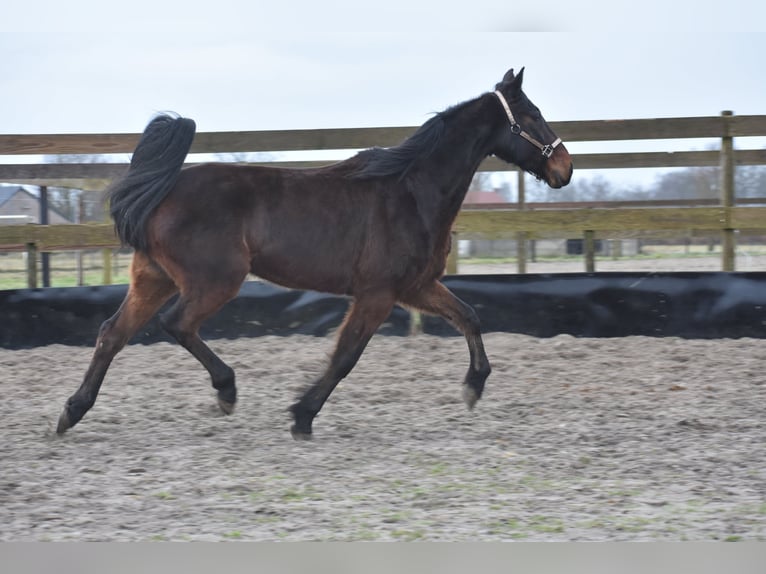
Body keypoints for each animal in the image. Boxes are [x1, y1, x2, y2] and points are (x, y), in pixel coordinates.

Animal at [55, 70, 568, 444]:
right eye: (532, 115)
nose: (564, 168)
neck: (410, 191)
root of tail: (162, 189)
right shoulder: (377, 294)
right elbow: (346, 356)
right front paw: (302, 415)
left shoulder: (416, 287)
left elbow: (470, 317)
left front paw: (473, 387)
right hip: (215, 281)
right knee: (176, 324)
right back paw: (226, 391)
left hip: (154, 278)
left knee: (111, 333)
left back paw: (71, 413)